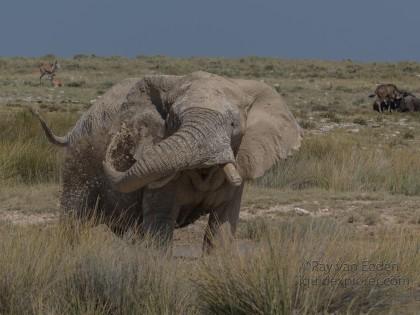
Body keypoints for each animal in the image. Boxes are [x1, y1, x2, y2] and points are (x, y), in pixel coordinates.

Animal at [32, 71, 302, 252]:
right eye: (174, 119)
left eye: (234, 124)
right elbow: (160, 224)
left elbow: (221, 228)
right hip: (77, 165)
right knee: (73, 221)